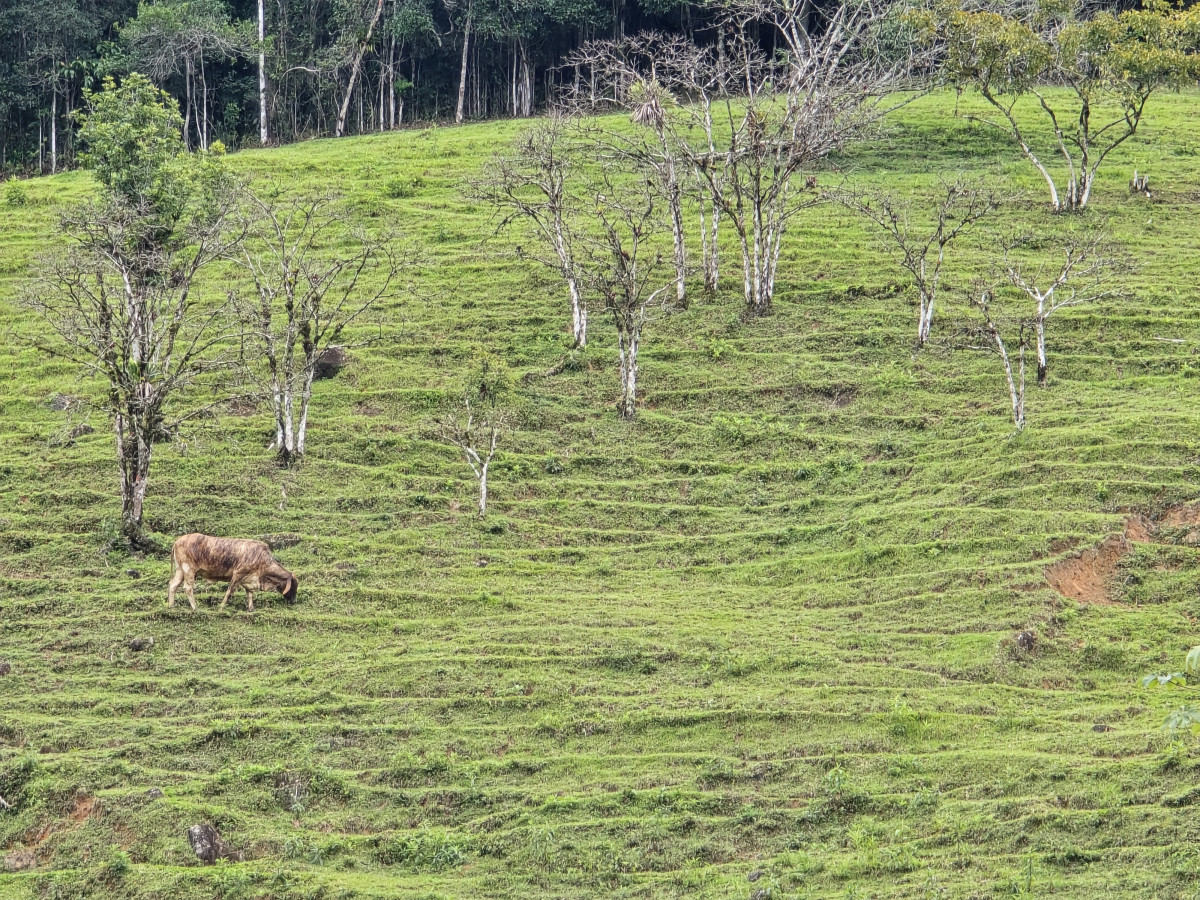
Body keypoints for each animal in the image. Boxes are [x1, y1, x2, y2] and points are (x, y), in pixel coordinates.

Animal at [168, 535, 298, 614]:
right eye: (294, 585)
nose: (294, 601)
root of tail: (177, 541)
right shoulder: (238, 573)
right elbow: (229, 592)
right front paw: (221, 607)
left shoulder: (248, 579)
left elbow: (249, 594)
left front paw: (251, 609)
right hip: (189, 569)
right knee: (188, 588)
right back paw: (195, 608)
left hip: (180, 570)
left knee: (173, 585)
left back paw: (171, 606)